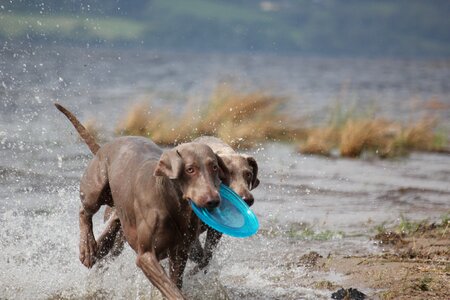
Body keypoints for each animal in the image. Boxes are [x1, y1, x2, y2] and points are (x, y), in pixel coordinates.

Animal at [55, 104, 229, 298]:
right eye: (190, 169)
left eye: (214, 167)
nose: (213, 200)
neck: (171, 201)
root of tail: (107, 145)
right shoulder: (146, 256)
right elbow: (171, 289)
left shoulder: (181, 251)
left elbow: (175, 281)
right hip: (95, 186)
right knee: (84, 211)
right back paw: (87, 248)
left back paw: (96, 249)